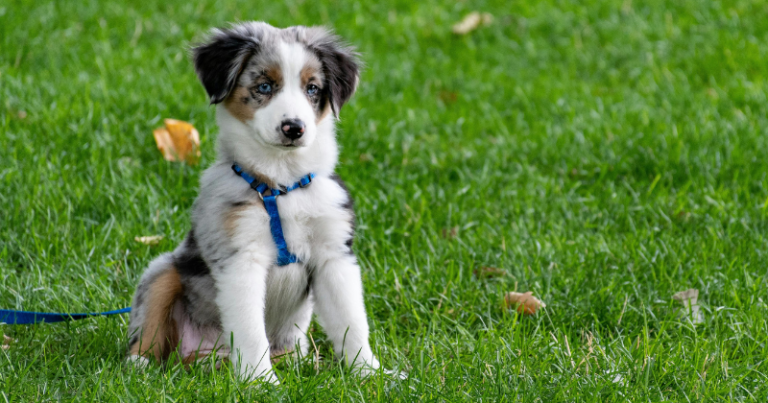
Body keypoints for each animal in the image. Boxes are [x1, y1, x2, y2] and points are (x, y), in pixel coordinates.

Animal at [124, 21, 396, 382]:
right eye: (264, 86)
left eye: (312, 89)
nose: (293, 128)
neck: (282, 184)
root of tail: (205, 356)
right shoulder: (241, 258)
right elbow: (251, 330)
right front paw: (260, 382)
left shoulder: (334, 255)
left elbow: (351, 322)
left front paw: (371, 374)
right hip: (163, 270)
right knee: (151, 324)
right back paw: (139, 364)